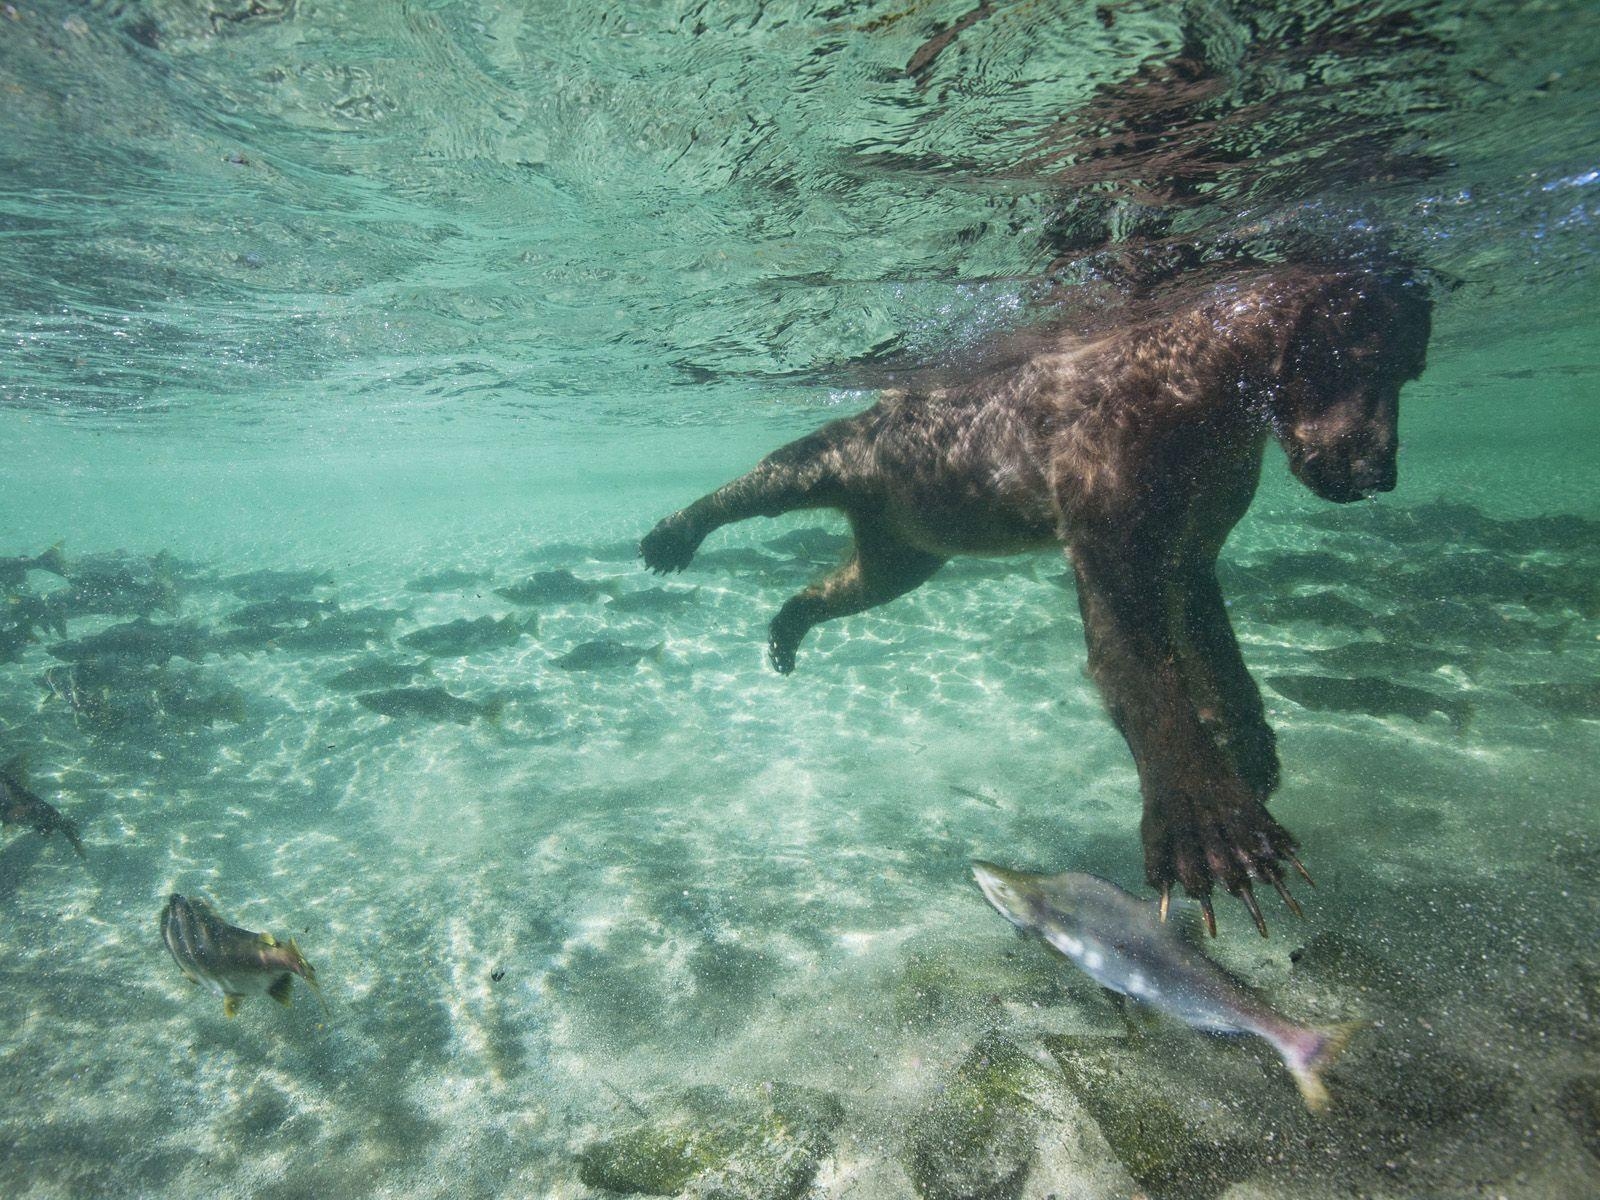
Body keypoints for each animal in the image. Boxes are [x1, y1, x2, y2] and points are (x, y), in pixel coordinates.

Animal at [643, 270, 1433, 940]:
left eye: (1411, 372)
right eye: (1361, 359)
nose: (1379, 470)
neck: (1208, 398)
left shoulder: (1198, 528)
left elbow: (1211, 641)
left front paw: (1252, 751)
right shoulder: (1112, 496)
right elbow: (1137, 664)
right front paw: (1217, 833)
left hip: (911, 542)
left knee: (859, 581)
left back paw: (786, 629)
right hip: (854, 455)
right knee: (772, 477)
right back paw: (670, 536)